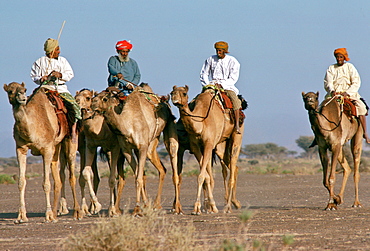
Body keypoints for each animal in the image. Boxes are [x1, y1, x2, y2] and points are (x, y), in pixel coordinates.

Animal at [3, 81, 82, 223]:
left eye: (24, 89)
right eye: (10, 91)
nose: (22, 97)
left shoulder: (46, 149)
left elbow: (46, 183)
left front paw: (48, 215)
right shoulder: (20, 149)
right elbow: (21, 182)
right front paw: (21, 216)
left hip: (70, 140)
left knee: (71, 175)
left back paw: (77, 212)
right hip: (56, 147)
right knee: (58, 178)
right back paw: (56, 213)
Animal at [92, 84, 180, 214]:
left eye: (105, 99)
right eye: (95, 96)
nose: (92, 103)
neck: (128, 125)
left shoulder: (142, 147)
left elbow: (138, 178)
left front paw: (137, 208)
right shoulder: (127, 150)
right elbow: (138, 176)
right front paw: (144, 205)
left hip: (168, 128)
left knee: (173, 162)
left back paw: (177, 207)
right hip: (151, 144)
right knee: (162, 169)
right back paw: (156, 205)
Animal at [171, 85, 246, 214]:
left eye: (184, 93)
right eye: (172, 92)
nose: (174, 99)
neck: (201, 123)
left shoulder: (208, 144)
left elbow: (201, 176)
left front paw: (197, 207)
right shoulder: (196, 146)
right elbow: (206, 175)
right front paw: (208, 206)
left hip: (236, 136)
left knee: (232, 166)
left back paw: (228, 207)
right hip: (220, 146)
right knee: (232, 167)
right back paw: (234, 203)